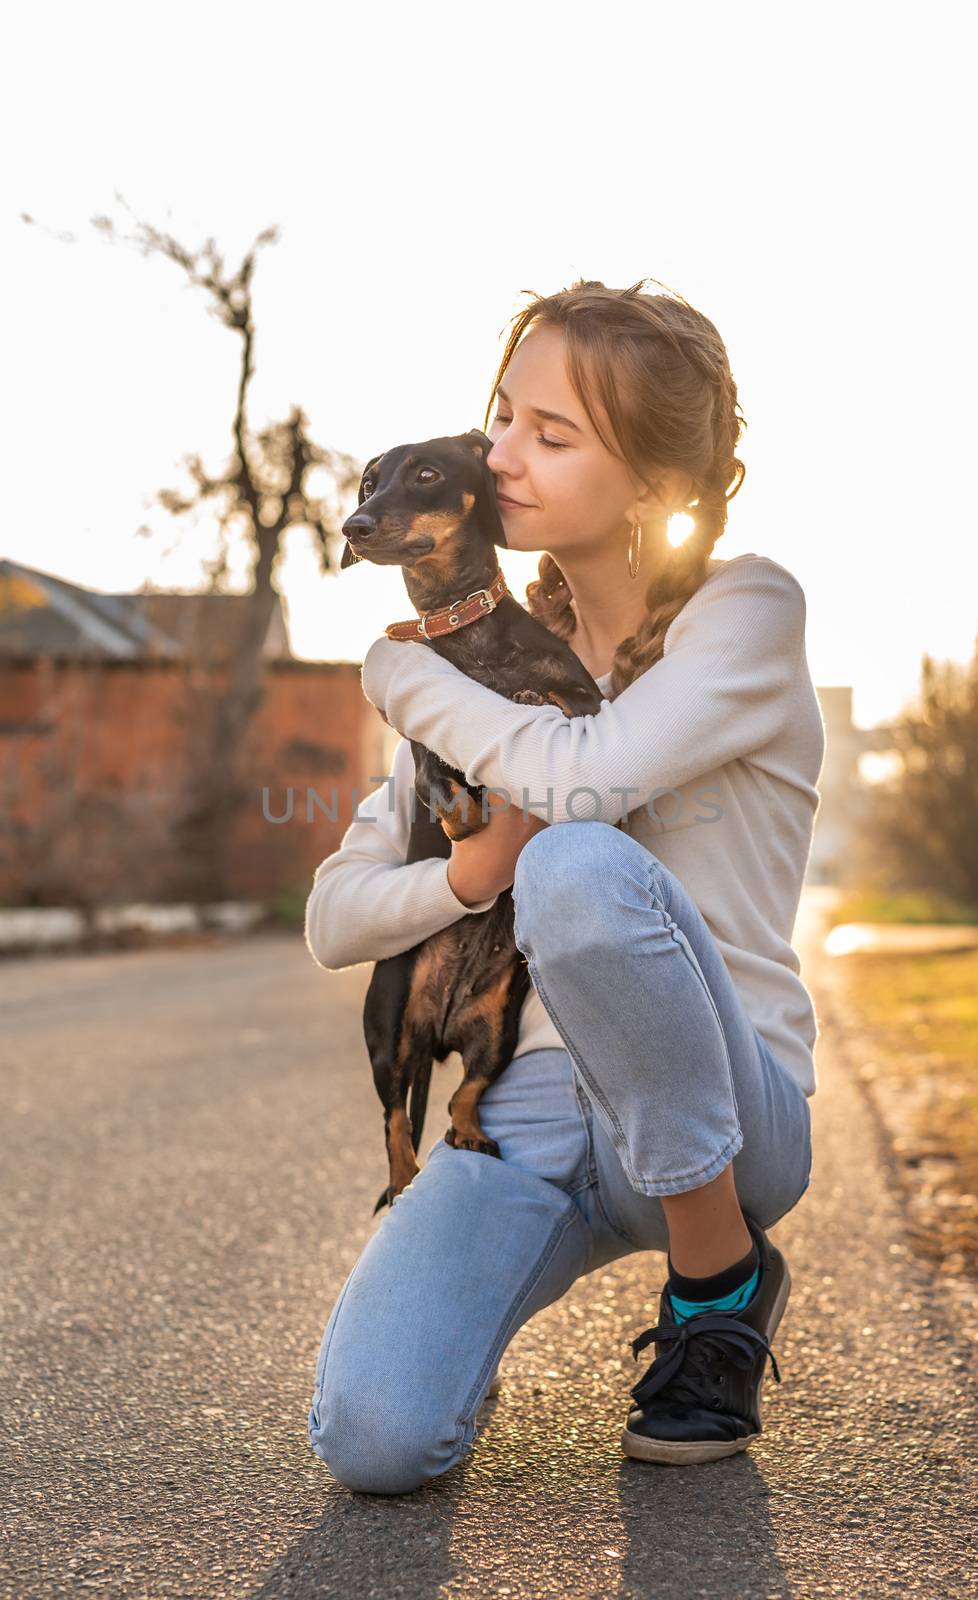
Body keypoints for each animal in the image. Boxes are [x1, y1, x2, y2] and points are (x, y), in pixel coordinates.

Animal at [342, 428, 605, 1209]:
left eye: (426, 473)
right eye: (368, 482)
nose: (354, 526)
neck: (466, 636)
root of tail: (442, 1027)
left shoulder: (586, 697)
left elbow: (562, 700)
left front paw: (527, 696)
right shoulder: (419, 740)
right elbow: (437, 776)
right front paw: (461, 818)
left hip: (498, 1031)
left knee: (466, 1094)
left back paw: (471, 1135)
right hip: (387, 1028)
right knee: (396, 1120)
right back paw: (405, 1181)